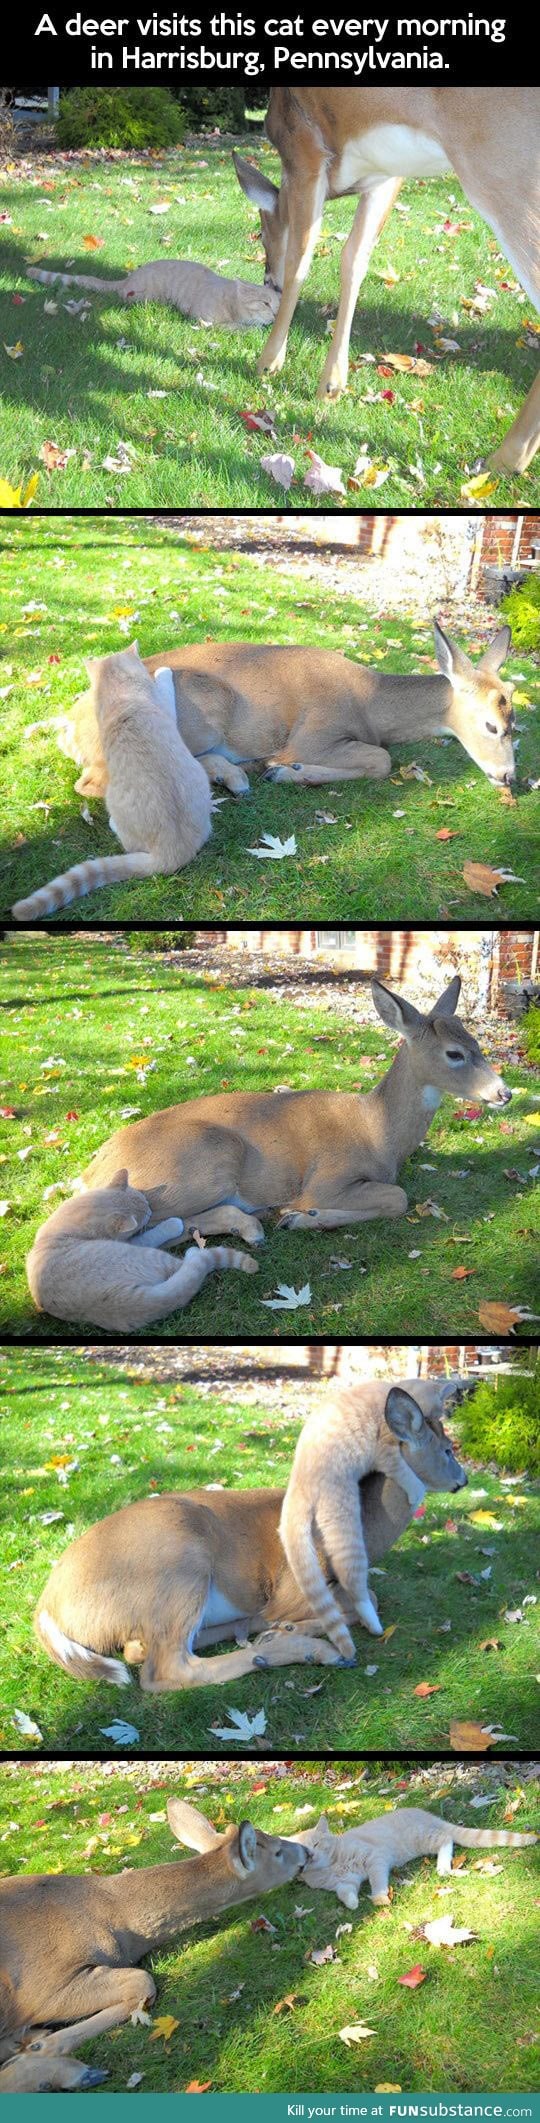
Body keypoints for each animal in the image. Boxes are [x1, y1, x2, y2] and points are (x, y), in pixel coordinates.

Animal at [0, 1800, 310, 2097]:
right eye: (278, 1852)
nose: (306, 1851)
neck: (117, 1920)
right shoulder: (41, 1988)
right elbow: (143, 1980)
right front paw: (43, 2048)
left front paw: (35, 2044)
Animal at [34, 1375, 471, 1689]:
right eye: (448, 1450)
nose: (464, 1479)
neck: (369, 1525)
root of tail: (47, 1605)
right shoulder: (292, 1586)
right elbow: (369, 1598)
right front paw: (304, 1628)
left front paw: (288, 1627)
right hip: (179, 1562)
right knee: (164, 1669)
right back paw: (307, 1649)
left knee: (142, 1649)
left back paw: (265, 1632)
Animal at [56, 619, 516, 802]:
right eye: (491, 726)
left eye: (515, 720)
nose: (509, 776)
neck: (370, 702)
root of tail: (69, 729)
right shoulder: (313, 734)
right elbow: (381, 759)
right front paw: (285, 771)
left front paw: (278, 771)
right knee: (96, 781)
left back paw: (236, 775)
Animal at [82, 972, 512, 1248]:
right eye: (454, 1054)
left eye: (477, 1043)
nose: (504, 1092)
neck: (378, 1132)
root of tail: (90, 1174)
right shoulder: (326, 1178)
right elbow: (397, 1197)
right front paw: (303, 1216)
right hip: (204, 1161)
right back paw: (254, 1224)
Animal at [234, 90, 540, 469]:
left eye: (261, 233)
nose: (267, 281)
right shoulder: (387, 174)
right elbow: (354, 258)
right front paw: (332, 384)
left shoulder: (304, 146)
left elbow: (300, 258)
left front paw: (269, 362)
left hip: (505, 172)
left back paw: (504, 457)